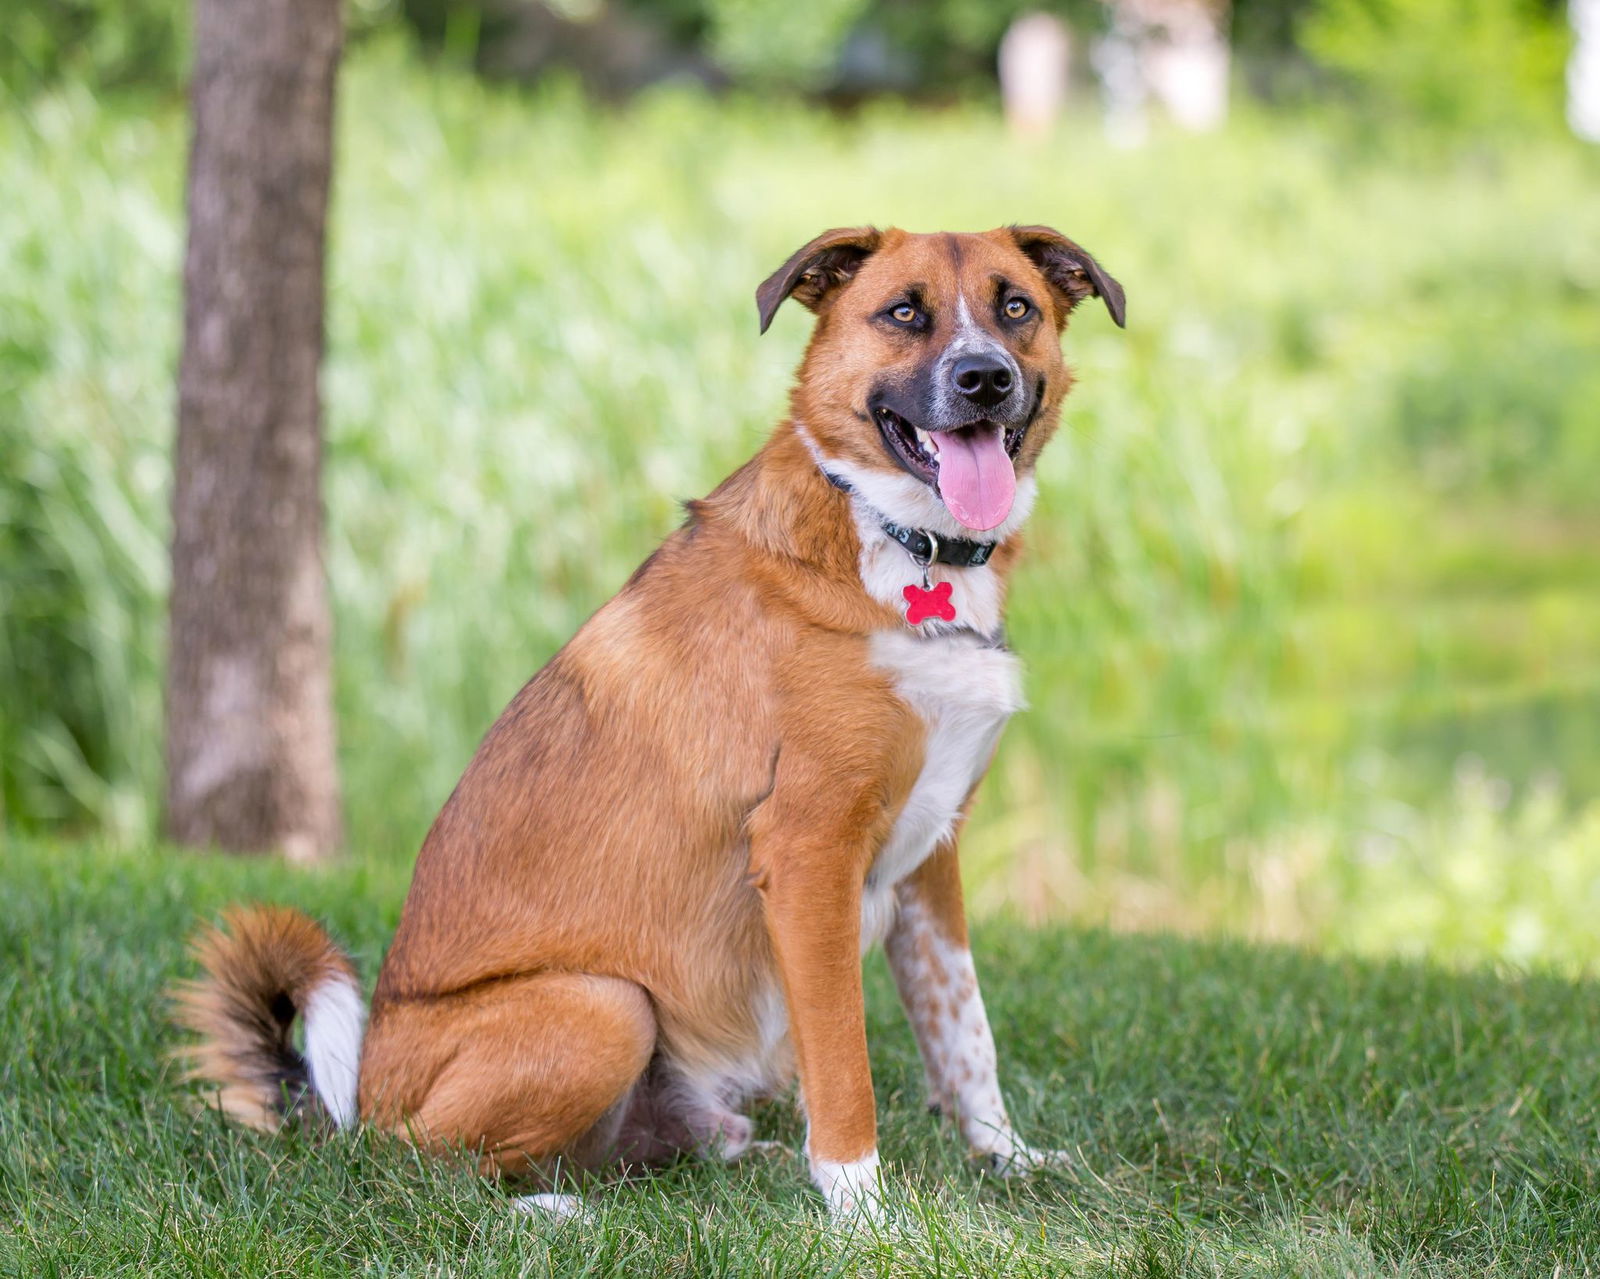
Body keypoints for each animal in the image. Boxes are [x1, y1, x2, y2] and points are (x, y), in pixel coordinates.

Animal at [175, 225, 1126, 1222]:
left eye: (1014, 305)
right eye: (904, 310)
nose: (985, 377)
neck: (903, 550)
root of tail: (356, 1102)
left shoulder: (931, 861)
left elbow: (966, 1033)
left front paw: (1006, 1157)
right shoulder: (809, 851)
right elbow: (845, 1066)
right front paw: (867, 1217)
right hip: (603, 1006)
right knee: (422, 1165)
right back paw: (550, 1213)